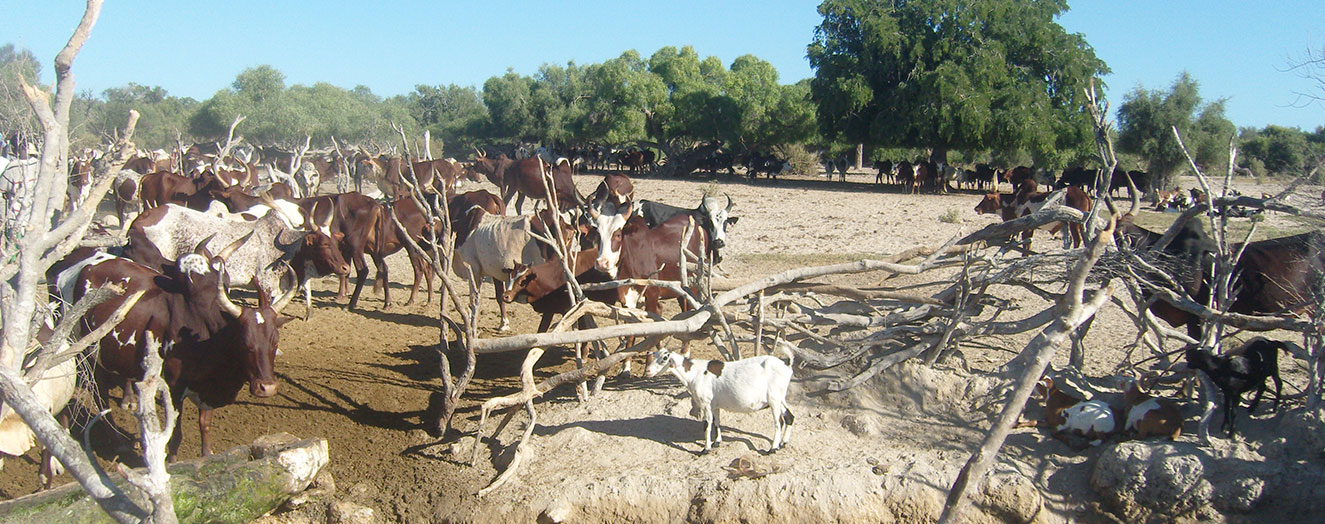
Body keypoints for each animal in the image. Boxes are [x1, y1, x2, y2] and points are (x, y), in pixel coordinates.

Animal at [643, 347, 789, 456]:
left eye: (664, 358)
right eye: (654, 355)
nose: (647, 371)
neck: (694, 373)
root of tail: (786, 366)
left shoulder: (706, 404)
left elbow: (707, 425)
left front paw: (705, 449)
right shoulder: (715, 405)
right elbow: (717, 422)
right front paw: (717, 442)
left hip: (774, 400)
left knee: (779, 422)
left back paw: (773, 448)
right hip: (780, 398)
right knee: (789, 417)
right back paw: (783, 443)